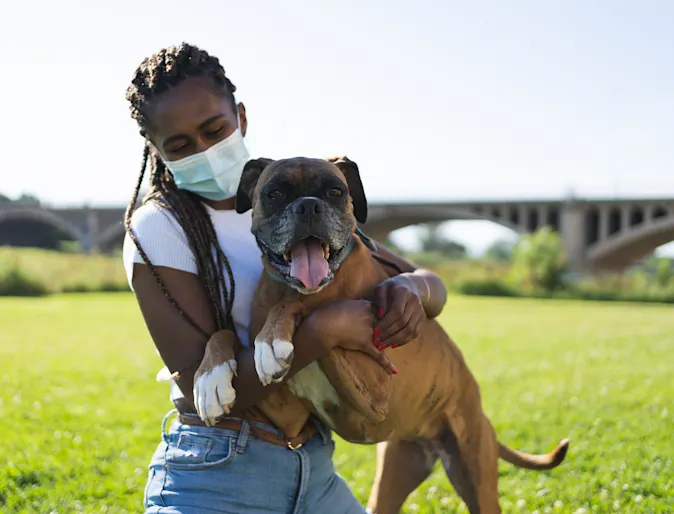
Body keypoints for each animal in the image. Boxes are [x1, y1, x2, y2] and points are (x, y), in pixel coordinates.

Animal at [190, 156, 568, 512]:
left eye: (335, 191)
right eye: (275, 193)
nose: (309, 206)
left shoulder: (375, 393)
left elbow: (302, 306)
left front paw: (272, 340)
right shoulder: (288, 418)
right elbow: (223, 333)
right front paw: (211, 380)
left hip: (476, 477)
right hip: (394, 477)